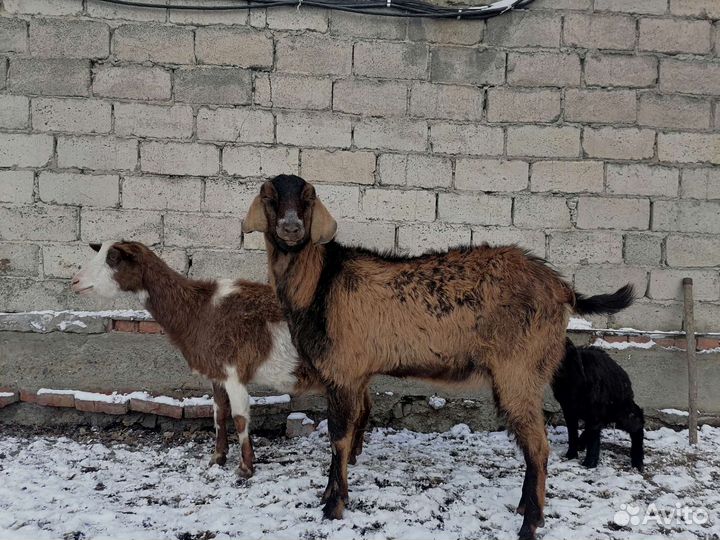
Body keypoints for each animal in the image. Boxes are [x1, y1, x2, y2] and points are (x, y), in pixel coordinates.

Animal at [70, 241, 344, 477]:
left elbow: (240, 417)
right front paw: (218, 458)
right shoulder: (217, 373)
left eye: (113, 258)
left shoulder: (233, 371)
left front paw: (245, 468)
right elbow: (218, 413)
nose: (75, 281)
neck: (199, 309)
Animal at [241, 174, 635, 540]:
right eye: (270, 197)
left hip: (520, 368)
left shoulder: (344, 371)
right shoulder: (356, 374)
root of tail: (564, 289)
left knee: (538, 444)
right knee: (530, 441)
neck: (321, 283)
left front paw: (334, 506)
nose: (291, 228)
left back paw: (530, 524)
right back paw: (525, 508)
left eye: (308, 199)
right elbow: (354, 426)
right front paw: (328, 495)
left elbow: (339, 436)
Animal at [552, 340, 644, 471]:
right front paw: (571, 454)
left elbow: (593, 437)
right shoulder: (568, 409)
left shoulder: (594, 411)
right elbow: (572, 432)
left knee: (638, 424)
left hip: (623, 413)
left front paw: (589, 463)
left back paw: (638, 460)